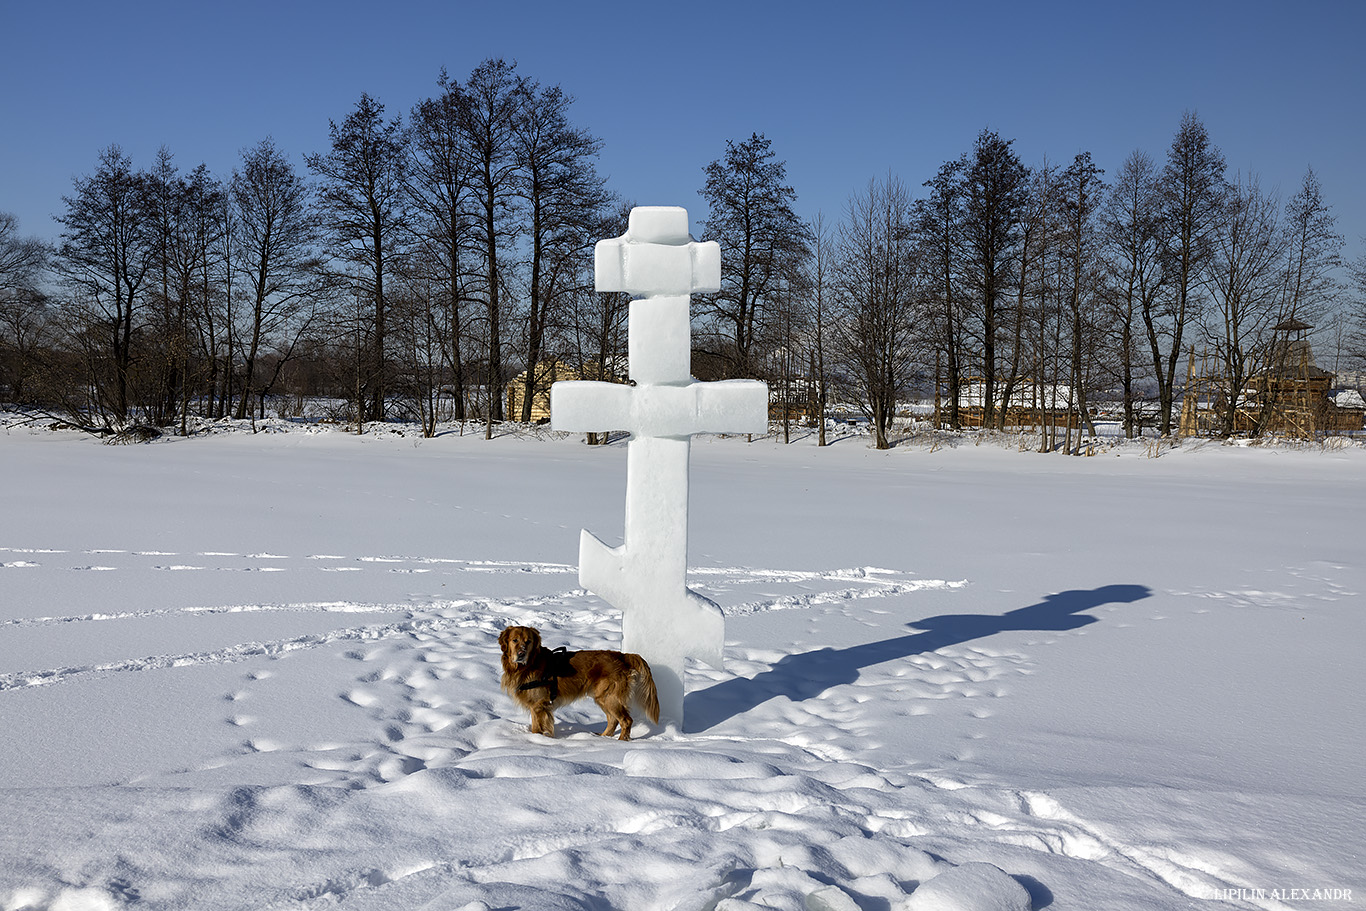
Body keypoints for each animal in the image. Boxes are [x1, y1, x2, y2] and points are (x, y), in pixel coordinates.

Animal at [502, 622, 661, 743]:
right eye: (515, 640)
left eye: (528, 641)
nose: (521, 654)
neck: (528, 665)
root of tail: (623, 656)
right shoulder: (537, 706)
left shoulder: (539, 705)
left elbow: (537, 728)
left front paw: (537, 740)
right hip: (602, 697)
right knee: (613, 720)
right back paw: (603, 738)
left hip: (609, 697)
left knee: (626, 720)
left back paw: (620, 742)